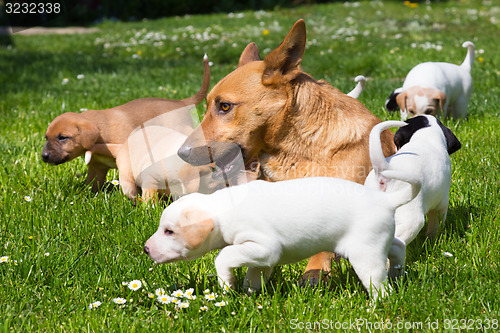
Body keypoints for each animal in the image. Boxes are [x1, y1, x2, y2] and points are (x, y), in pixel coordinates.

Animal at [40, 55, 209, 191]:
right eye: (46, 138)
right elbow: (91, 186)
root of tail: (180, 102)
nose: (44, 156)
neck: (101, 133)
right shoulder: (96, 167)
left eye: (62, 137)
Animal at [146, 171, 422, 298]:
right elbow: (254, 274)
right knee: (398, 247)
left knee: (379, 284)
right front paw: (250, 294)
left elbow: (223, 256)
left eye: (169, 231)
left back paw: (378, 302)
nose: (147, 249)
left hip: (366, 254)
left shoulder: (264, 246)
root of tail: (385, 201)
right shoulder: (261, 257)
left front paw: (227, 286)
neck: (223, 208)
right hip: (379, 241)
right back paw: (398, 272)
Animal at [364, 115, 460, 255]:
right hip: (411, 220)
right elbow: (436, 224)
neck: (426, 136)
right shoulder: (442, 202)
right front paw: (435, 239)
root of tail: (384, 170)